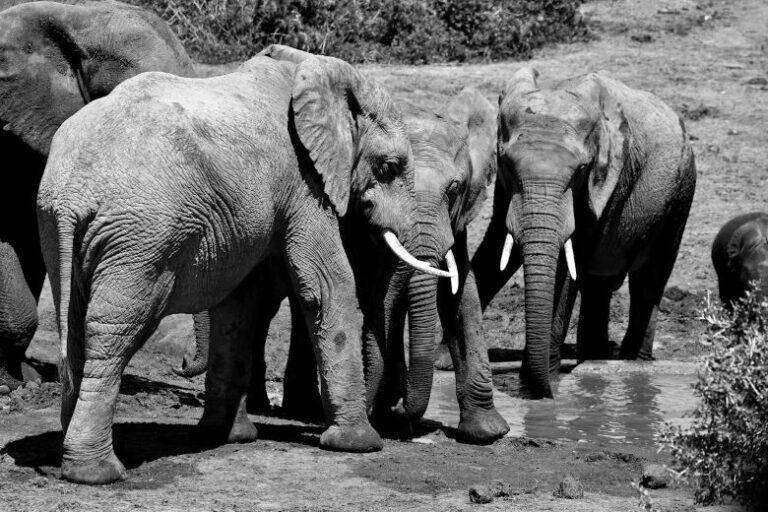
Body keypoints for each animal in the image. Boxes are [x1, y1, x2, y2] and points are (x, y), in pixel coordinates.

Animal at [37, 48, 455, 484]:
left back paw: (69, 452)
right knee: (115, 330)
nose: (400, 420)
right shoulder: (302, 181)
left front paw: (229, 436)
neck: (314, 69)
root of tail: (71, 197)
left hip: (56, 226)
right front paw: (359, 445)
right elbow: (326, 287)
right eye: (389, 167)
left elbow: (238, 306)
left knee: (76, 321)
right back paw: (96, 472)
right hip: (140, 236)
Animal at [177, 81, 511, 443]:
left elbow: (460, 294)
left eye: (455, 189)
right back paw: (272, 406)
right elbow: (368, 291)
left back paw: (304, 408)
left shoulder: (454, 223)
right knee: (265, 304)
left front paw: (487, 433)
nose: (400, 412)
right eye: (388, 173)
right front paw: (383, 413)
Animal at [460, 67, 696, 399]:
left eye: (581, 170)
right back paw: (594, 359)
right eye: (505, 163)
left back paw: (633, 364)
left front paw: (538, 387)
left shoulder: (609, 181)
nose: (544, 393)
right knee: (599, 285)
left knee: (649, 281)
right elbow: (495, 247)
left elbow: (569, 266)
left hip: (680, 195)